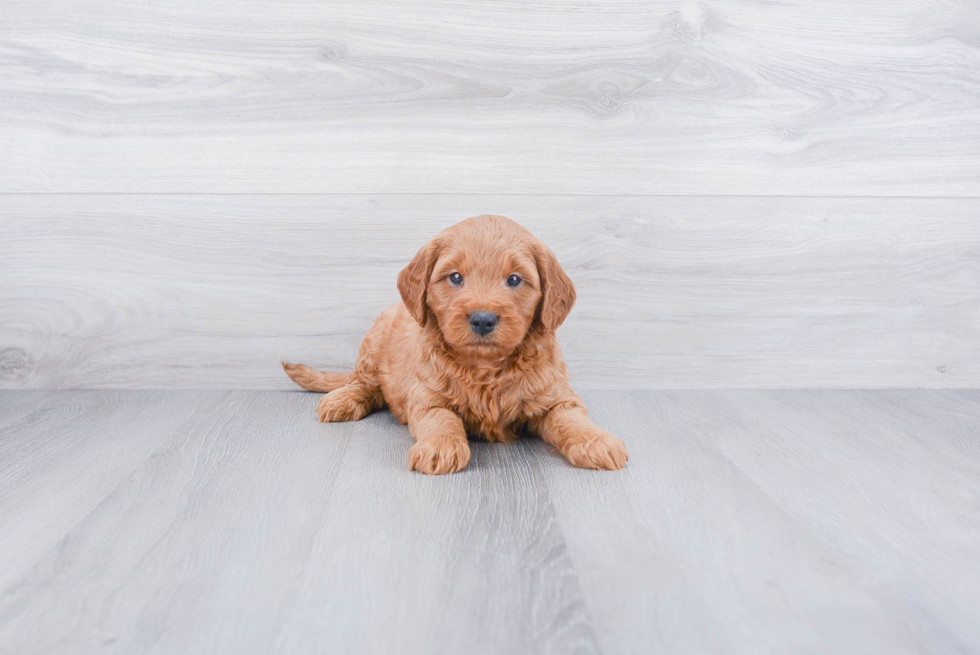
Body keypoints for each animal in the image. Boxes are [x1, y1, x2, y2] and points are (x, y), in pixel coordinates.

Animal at [286, 215, 628, 476]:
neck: (486, 368)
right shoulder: (428, 399)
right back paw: (342, 400)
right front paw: (440, 448)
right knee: (365, 385)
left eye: (514, 279)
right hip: (373, 345)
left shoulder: (556, 396)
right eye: (455, 277)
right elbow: (442, 420)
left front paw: (597, 441)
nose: (483, 319)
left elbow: (572, 418)